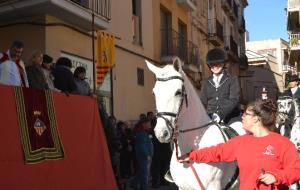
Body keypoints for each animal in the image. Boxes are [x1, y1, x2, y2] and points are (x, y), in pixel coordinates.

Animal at [145, 58, 246, 190]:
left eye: (178, 92)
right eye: (154, 93)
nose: (161, 133)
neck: (190, 152)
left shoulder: (213, 187)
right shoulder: (183, 187)